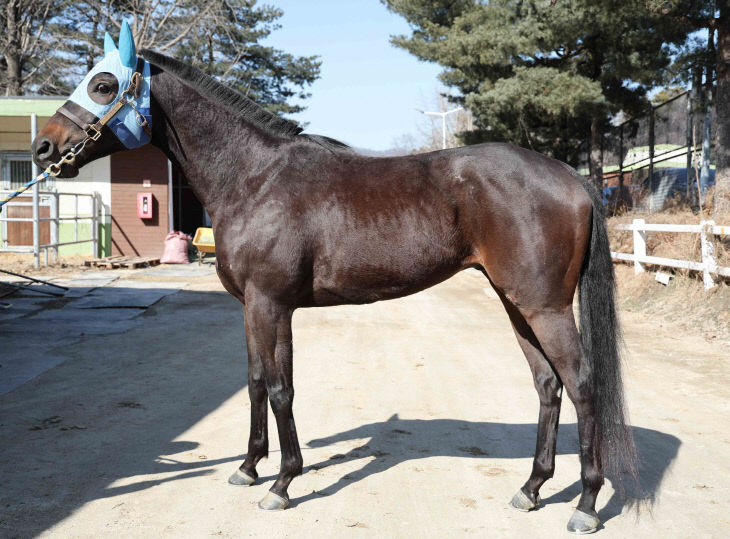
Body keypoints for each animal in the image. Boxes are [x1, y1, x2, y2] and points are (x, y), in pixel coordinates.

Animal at [31, 30, 636, 536]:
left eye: (103, 84)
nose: (43, 148)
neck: (254, 177)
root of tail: (571, 176)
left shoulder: (272, 305)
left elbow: (281, 389)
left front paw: (281, 484)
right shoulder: (251, 308)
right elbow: (255, 382)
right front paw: (248, 467)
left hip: (545, 308)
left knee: (583, 384)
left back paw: (585, 505)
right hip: (517, 304)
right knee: (548, 386)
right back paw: (530, 489)